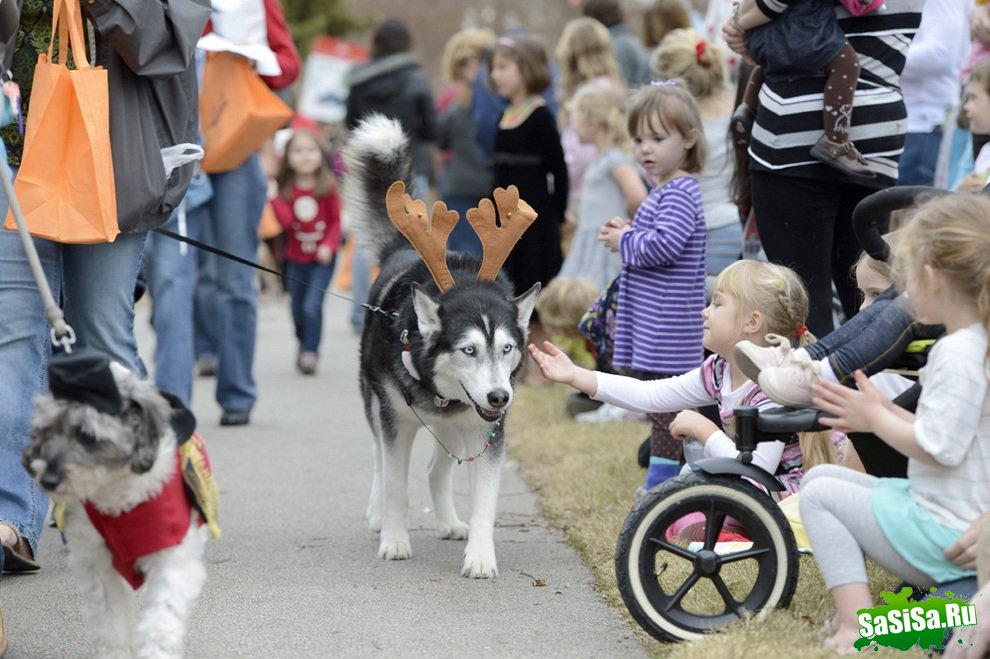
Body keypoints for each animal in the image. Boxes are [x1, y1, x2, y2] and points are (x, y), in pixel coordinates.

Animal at [22, 354, 219, 656]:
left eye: (88, 435)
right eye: (47, 431)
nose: (49, 479)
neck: (118, 497)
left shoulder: (171, 557)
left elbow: (161, 619)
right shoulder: (97, 561)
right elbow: (110, 621)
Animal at [344, 116, 540, 580]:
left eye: (508, 349)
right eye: (468, 350)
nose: (499, 396)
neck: (441, 395)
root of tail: (402, 249)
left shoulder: (487, 432)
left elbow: (485, 502)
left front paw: (481, 555)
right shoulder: (396, 423)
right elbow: (396, 484)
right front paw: (395, 539)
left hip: (456, 430)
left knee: (436, 470)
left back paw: (450, 522)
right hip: (373, 404)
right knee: (378, 459)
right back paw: (377, 515)